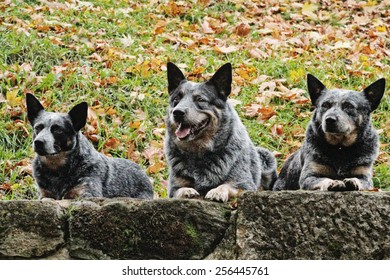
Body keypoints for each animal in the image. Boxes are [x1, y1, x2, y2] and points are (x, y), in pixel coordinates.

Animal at [25, 94, 153, 199]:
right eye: (38, 127)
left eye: (58, 130)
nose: (38, 142)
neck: (56, 170)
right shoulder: (45, 194)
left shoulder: (87, 192)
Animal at [165, 62, 278, 201]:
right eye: (177, 98)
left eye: (200, 99)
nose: (177, 112)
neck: (199, 153)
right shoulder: (173, 188)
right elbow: (179, 189)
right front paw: (187, 191)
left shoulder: (244, 183)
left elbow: (227, 185)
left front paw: (217, 192)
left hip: (266, 159)